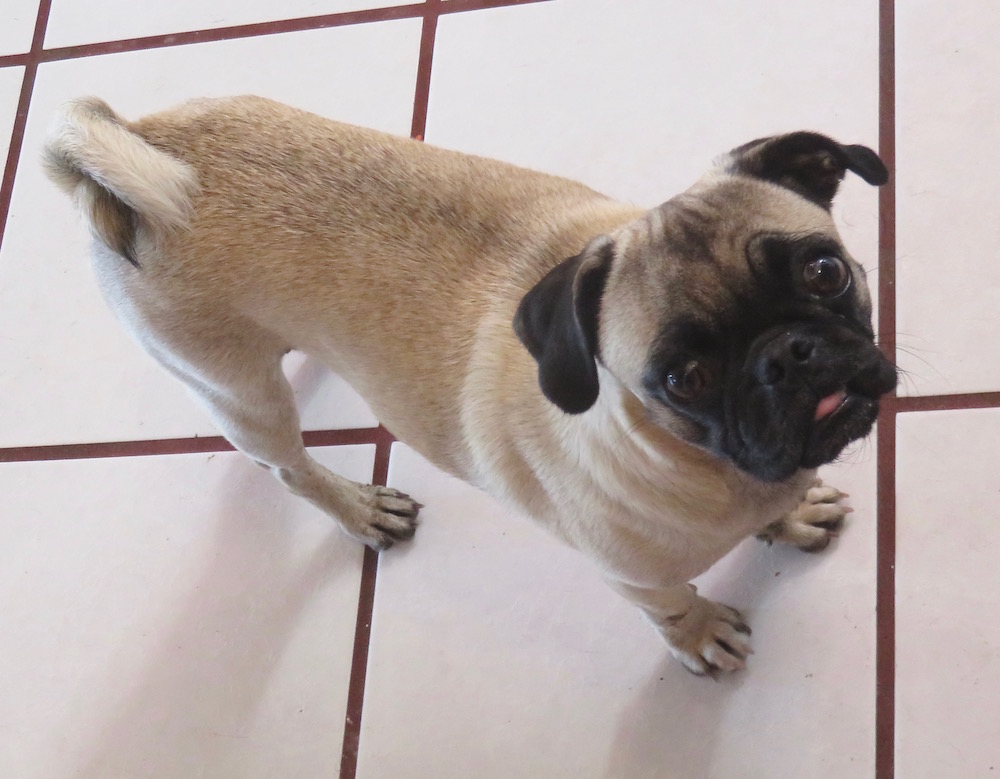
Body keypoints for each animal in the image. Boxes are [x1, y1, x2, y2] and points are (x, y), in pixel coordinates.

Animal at [43, 96, 895, 675]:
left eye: (826, 271)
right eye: (685, 379)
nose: (788, 355)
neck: (713, 469)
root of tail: (137, 143)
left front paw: (789, 517)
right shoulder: (634, 576)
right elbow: (676, 603)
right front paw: (700, 633)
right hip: (239, 392)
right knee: (286, 465)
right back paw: (356, 505)